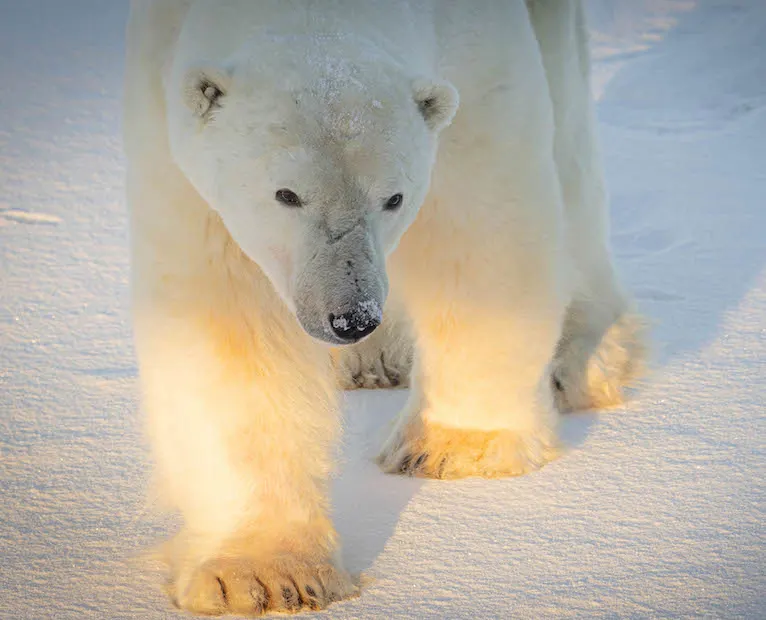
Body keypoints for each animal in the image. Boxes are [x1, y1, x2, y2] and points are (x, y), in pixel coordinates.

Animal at [123, 0, 645, 615]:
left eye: (393, 196)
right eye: (286, 193)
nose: (352, 317)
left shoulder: (480, 61)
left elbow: (480, 231)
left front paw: (456, 449)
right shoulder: (168, 116)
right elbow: (232, 321)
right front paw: (263, 577)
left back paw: (580, 355)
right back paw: (370, 360)